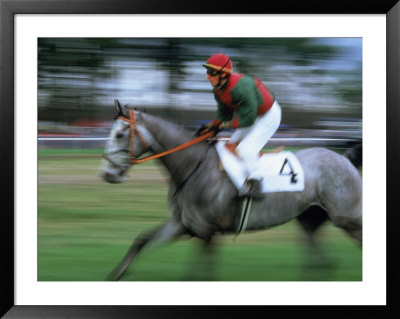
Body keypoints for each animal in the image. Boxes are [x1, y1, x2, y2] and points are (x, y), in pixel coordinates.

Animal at [100, 100, 362, 282]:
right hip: (310, 218)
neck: (192, 167)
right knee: (323, 257)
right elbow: (141, 240)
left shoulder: (207, 232)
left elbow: (205, 273)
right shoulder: (183, 225)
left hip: (347, 216)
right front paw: (117, 273)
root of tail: (344, 158)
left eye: (120, 134)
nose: (107, 173)